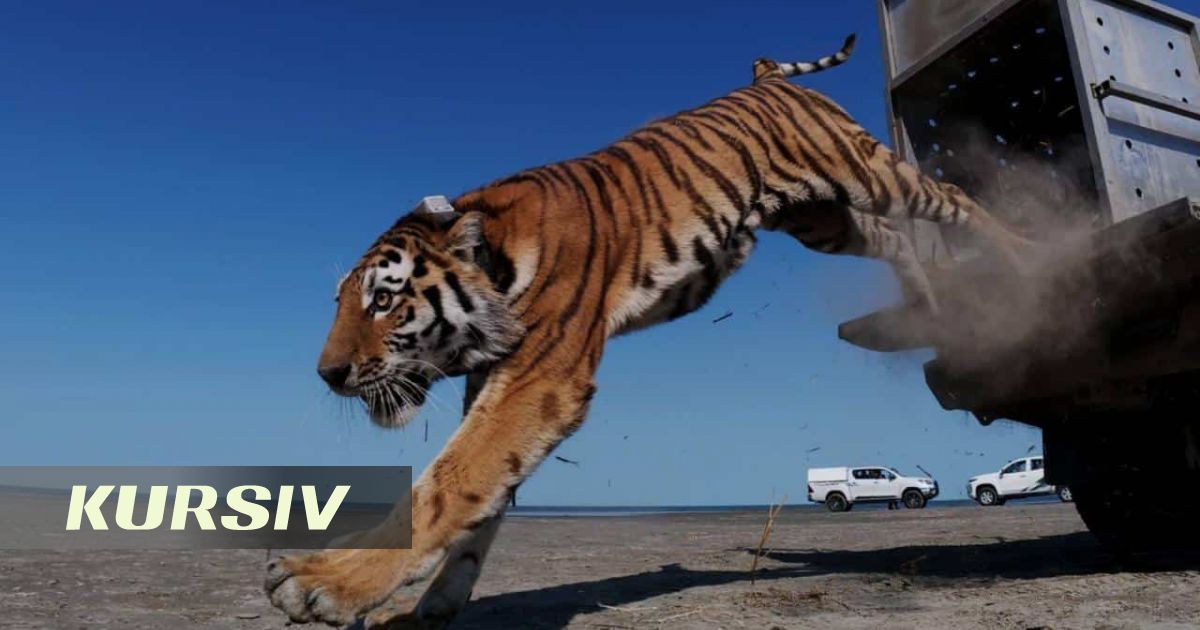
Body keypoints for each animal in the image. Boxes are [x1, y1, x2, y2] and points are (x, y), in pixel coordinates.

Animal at [266, 34, 1030, 627]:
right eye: (343, 302)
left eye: (383, 300)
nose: (327, 374)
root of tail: (766, 80)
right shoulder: (497, 385)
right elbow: (483, 506)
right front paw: (428, 610)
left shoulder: (539, 381)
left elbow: (448, 483)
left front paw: (320, 581)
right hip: (822, 219)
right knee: (894, 239)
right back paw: (927, 297)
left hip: (865, 170)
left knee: (950, 199)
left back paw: (1027, 257)